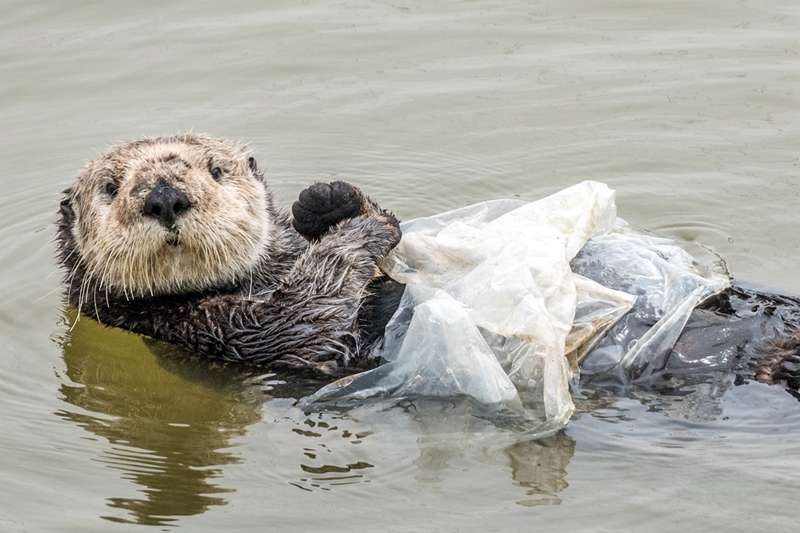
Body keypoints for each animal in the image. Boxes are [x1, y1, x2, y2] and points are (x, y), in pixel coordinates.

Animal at [56, 132, 800, 390]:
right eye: (111, 187)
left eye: (215, 169)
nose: (165, 194)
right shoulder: (217, 329)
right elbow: (312, 312)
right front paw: (360, 228)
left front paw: (330, 199)